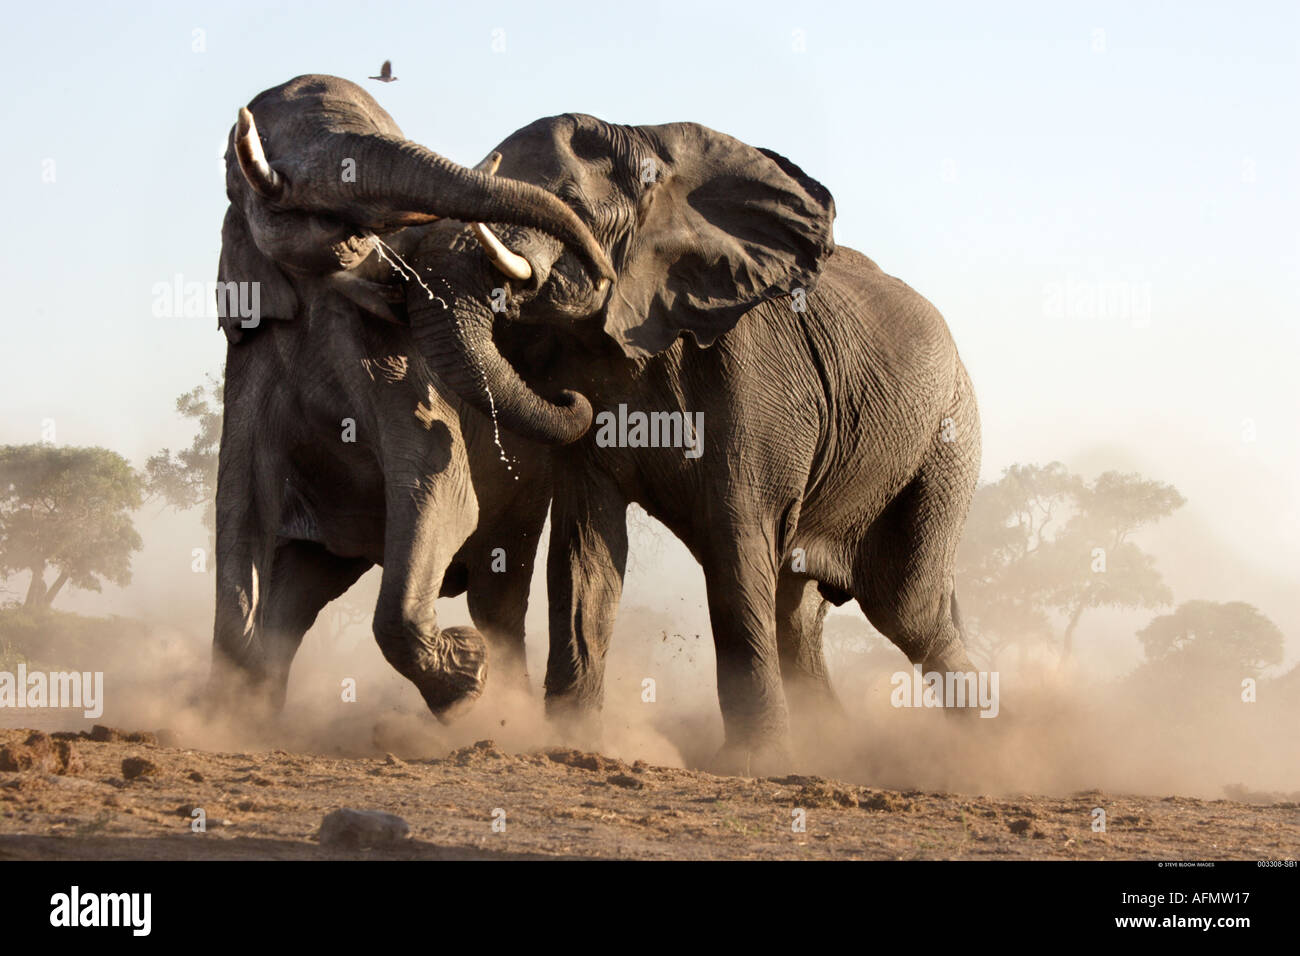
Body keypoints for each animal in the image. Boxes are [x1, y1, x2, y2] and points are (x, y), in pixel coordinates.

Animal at [206, 78, 603, 723]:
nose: (599, 267)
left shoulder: (397, 357)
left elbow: (440, 488)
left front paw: (466, 682)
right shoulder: (253, 351)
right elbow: (241, 502)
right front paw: (225, 716)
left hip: (525, 492)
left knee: (498, 589)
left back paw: (507, 707)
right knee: (296, 594)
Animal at [397, 111, 982, 770]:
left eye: (568, 203)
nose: (565, 397)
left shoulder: (752, 376)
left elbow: (734, 544)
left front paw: (756, 764)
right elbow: (584, 555)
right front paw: (572, 743)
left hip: (945, 445)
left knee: (907, 608)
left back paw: (989, 747)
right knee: (799, 612)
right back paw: (838, 747)